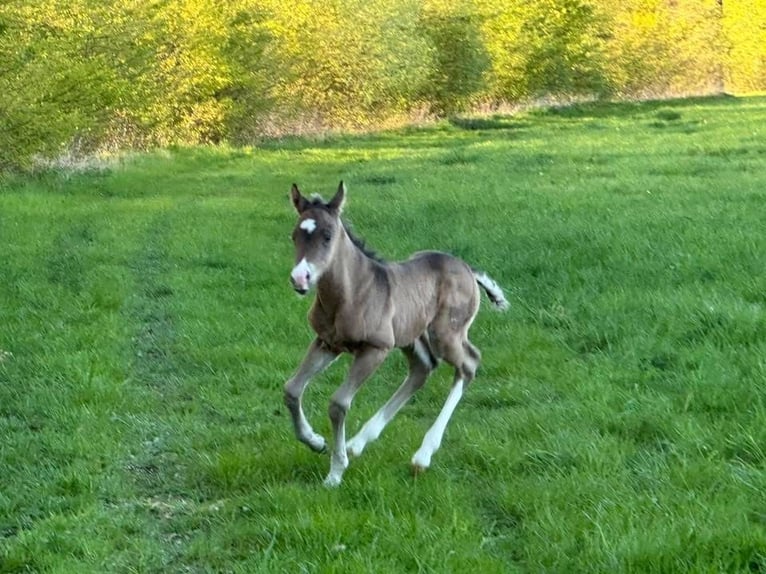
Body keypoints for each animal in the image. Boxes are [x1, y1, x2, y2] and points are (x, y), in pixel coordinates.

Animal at [284, 181, 508, 486]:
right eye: (295, 235)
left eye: (327, 236)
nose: (300, 278)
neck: (351, 294)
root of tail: (467, 269)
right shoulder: (326, 343)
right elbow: (292, 390)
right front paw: (316, 441)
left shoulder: (375, 348)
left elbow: (338, 404)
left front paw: (335, 472)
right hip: (411, 336)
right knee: (423, 368)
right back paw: (358, 443)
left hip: (444, 335)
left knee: (468, 363)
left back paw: (422, 455)